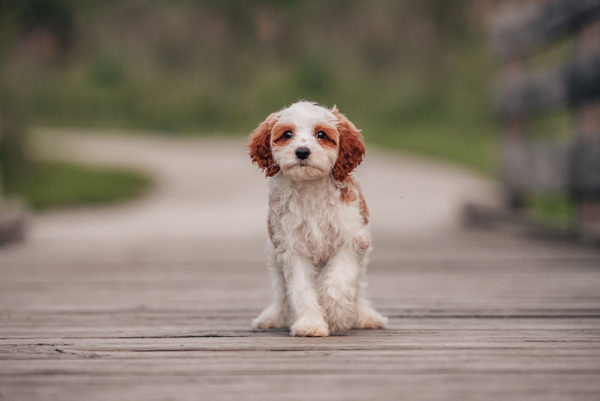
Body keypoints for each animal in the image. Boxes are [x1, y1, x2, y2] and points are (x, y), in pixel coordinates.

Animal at [247, 100, 384, 334]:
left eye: (321, 134)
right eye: (287, 134)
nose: (302, 152)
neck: (310, 186)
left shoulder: (350, 239)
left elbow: (338, 282)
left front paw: (336, 315)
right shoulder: (293, 248)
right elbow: (300, 289)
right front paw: (310, 324)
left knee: (356, 288)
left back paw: (365, 316)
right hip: (274, 257)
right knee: (282, 292)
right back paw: (274, 316)